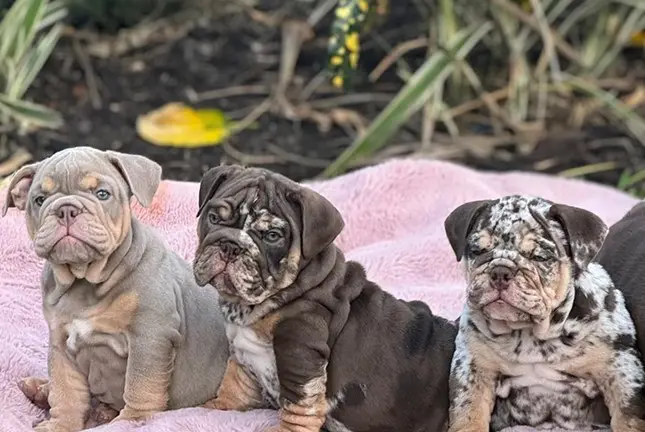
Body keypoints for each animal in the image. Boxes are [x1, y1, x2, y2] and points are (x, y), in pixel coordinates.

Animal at [194, 165, 456, 432]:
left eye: (272, 236)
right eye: (213, 218)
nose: (230, 246)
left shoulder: (301, 351)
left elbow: (299, 403)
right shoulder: (243, 355)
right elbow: (235, 384)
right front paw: (215, 407)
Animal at [442, 197, 644, 432]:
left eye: (540, 257)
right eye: (477, 251)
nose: (500, 271)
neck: (529, 332)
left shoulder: (619, 367)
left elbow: (627, 415)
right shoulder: (473, 366)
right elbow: (469, 412)